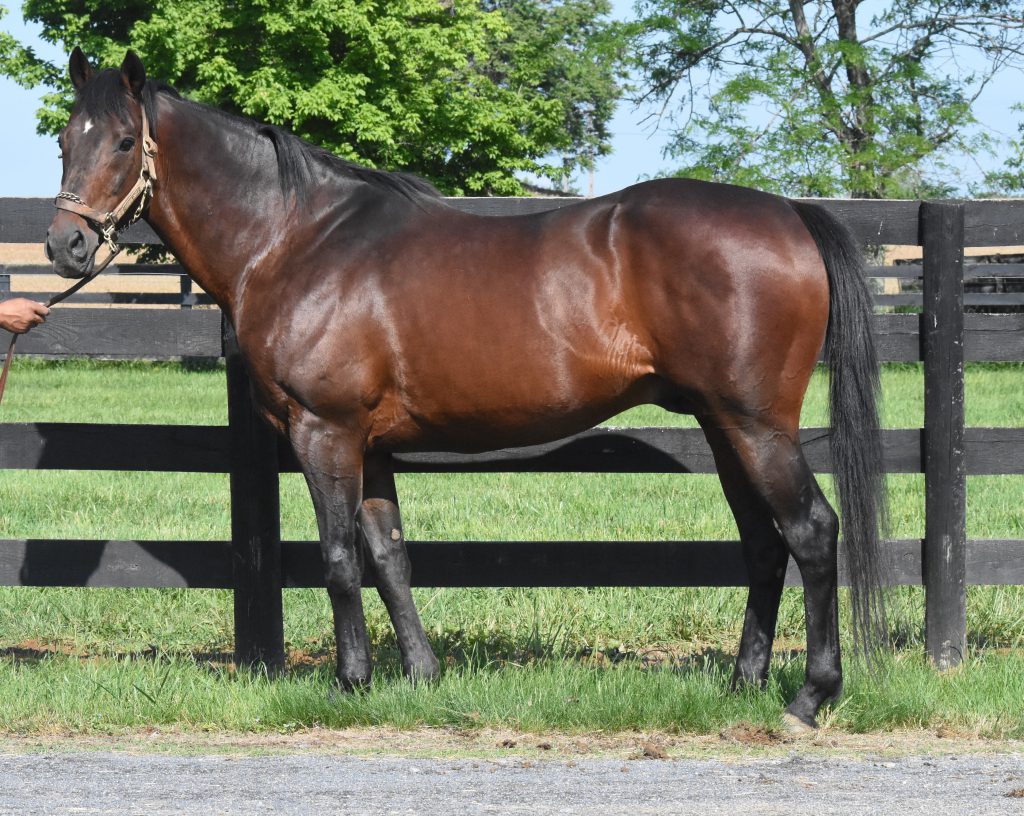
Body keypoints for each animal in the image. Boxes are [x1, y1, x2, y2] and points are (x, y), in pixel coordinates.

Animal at [46, 49, 888, 724]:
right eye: (62, 140)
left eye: (124, 141)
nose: (65, 245)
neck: (295, 240)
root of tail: (788, 213)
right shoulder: (370, 446)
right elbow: (389, 556)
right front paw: (420, 676)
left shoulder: (325, 432)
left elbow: (339, 558)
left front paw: (351, 684)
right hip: (722, 425)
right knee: (763, 544)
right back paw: (744, 685)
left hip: (757, 425)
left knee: (812, 532)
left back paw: (809, 697)